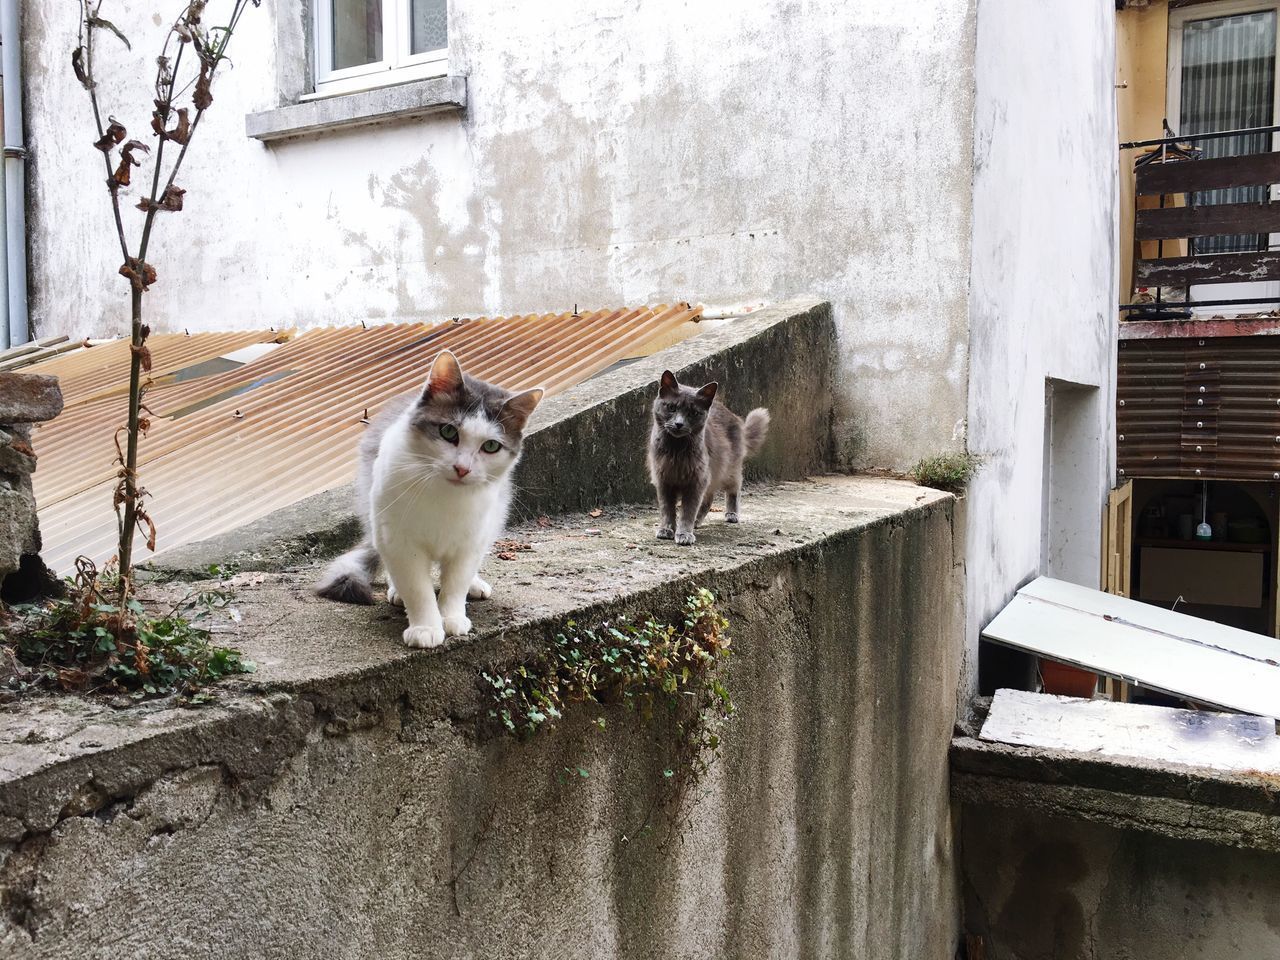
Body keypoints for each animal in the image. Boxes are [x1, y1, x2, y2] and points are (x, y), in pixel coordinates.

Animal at [320, 353, 545, 655]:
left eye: (490, 447)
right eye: (449, 431)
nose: (462, 469)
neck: (445, 497)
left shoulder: (469, 542)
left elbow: (456, 583)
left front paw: (452, 617)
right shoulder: (400, 542)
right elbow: (418, 589)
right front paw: (425, 627)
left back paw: (474, 584)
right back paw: (396, 591)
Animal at [650, 371, 768, 545]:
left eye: (693, 413)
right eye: (671, 407)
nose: (679, 424)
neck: (676, 450)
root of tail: (734, 416)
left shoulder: (696, 480)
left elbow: (688, 510)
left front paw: (684, 534)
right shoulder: (663, 480)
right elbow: (667, 509)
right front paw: (666, 529)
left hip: (727, 469)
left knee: (734, 488)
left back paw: (731, 514)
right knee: (709, 498)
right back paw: (697, 521)